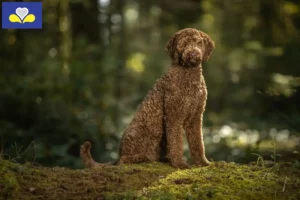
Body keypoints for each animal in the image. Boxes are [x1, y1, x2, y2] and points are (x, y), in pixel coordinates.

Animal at [81, 28, 214, 169]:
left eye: (199, 42)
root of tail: (117, 156)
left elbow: (198, 143)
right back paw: (141, 157)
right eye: (183, 44)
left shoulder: (196, 117)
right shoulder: (174, 116)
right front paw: (180, 164)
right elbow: (176, 143)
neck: (189, 75)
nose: (193, 53)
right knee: (124, 160)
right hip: (136, 132)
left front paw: (202, 162)